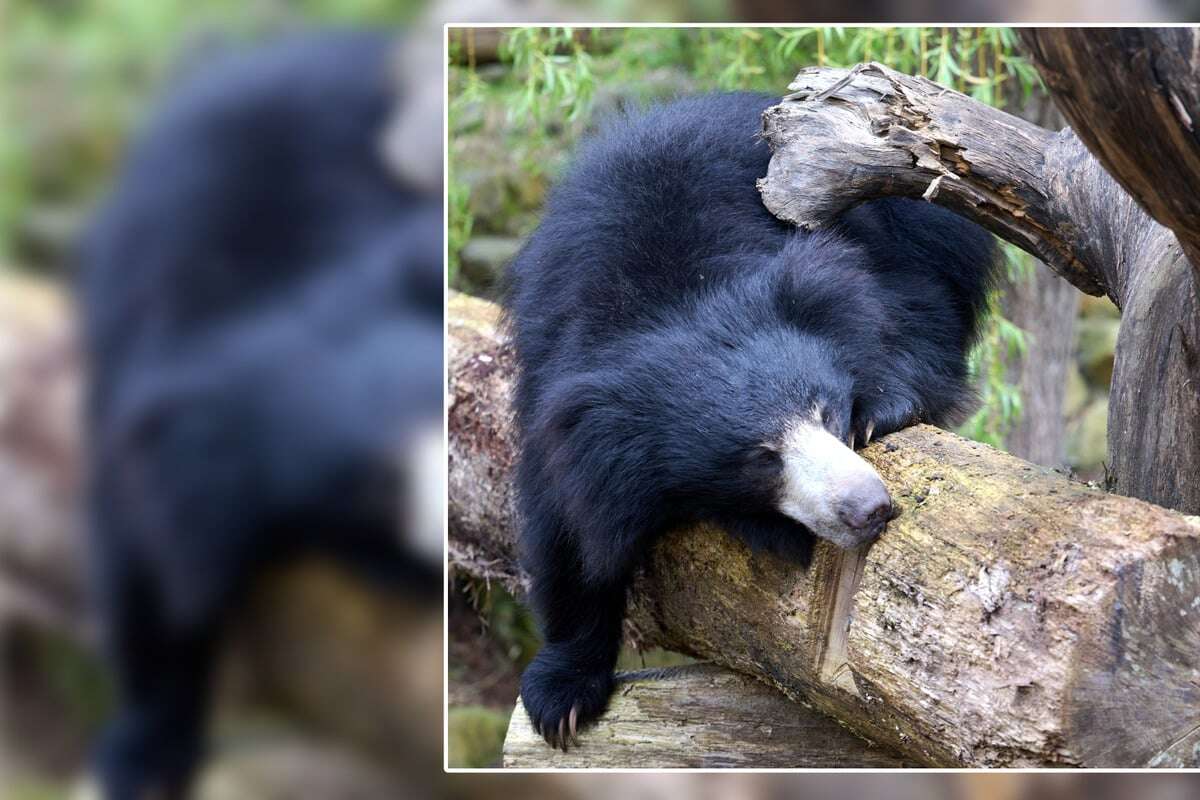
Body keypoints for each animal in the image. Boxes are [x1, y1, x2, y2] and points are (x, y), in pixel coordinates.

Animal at [501, 90, 998, 748]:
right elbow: (567, 531)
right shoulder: (557, 387)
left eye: (826, 412)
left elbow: (907, 307)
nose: (869, 509)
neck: (676, 298)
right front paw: (561, 699)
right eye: (760, 457)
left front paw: (881, 409)